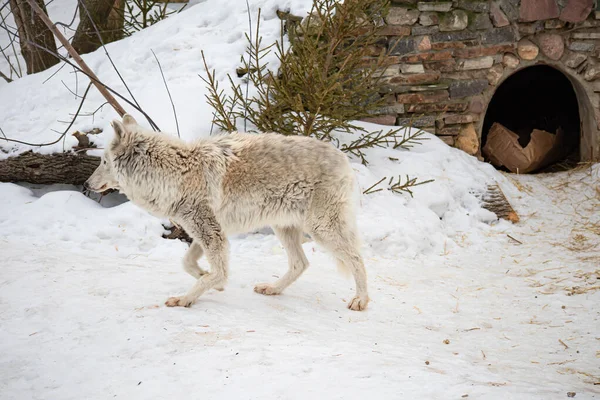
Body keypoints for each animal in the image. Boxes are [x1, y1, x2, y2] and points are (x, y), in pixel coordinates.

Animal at [84, 114, 366, 310]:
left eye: (104, 162)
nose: (86, 184)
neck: (175, 174)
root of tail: (344, 158)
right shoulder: (206, 232)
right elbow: (188, 262)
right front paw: (208, 279)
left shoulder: (212, 234)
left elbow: (218, 272)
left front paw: (187, 298)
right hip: (284, 228)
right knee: (301, 263)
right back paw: (273, 289)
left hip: (322, 229)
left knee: (356, 258)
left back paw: (361, 301)